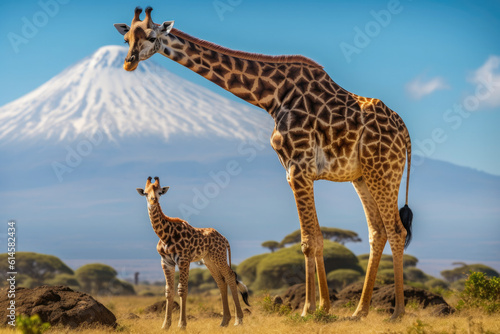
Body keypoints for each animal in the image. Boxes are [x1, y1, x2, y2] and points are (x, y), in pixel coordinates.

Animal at [137, 176, 250, 330]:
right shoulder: (166, 262)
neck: (164, 235)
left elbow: (182, 289)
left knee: (230, 276)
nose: (153, 200)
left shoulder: (184, 260)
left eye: (160, 192)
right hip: (208, 260)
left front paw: (182, 325)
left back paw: (238, 320)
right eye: (145, 193)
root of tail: (224, 238)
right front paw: (165, 326)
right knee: (221, 281)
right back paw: (224, 321)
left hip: (219, 256)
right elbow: (168, 291)